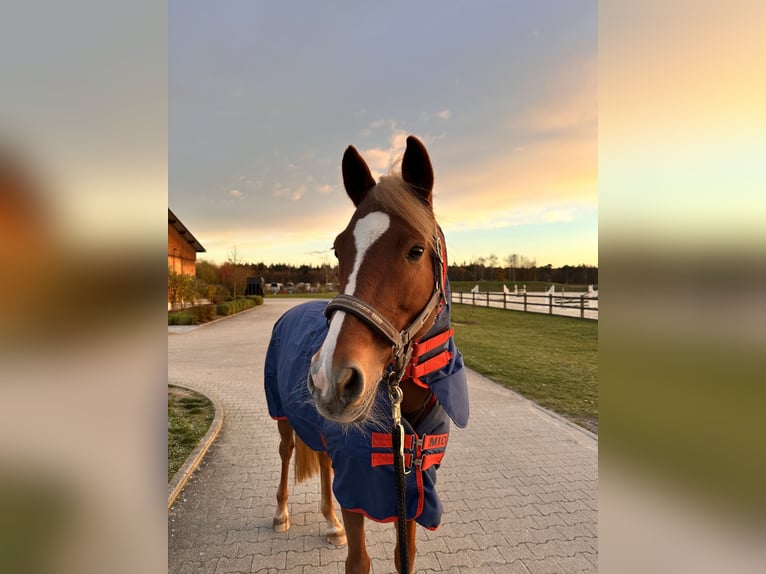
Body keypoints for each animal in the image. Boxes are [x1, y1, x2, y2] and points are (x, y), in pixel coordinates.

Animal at [264, 136, 472, 574]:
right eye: (338, 249)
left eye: (415, 250)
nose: (331, 379)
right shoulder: (359, 486)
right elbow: (358, 562)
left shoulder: (411, 490)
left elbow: (403, 557)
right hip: (284, 416)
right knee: (287, 452)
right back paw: (281, 514)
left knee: (323, 462)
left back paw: (330, 523)